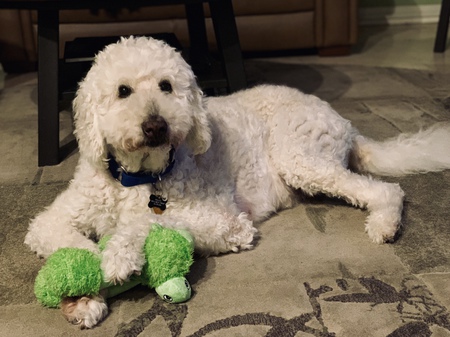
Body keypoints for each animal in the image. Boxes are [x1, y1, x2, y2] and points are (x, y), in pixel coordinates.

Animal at [23, 36, 450, 326]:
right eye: (122, 91)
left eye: (166, 86)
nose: (156, 126)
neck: (138, 178)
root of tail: (342, 120)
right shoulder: (49, 221)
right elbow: (72, 243)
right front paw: (84, 294)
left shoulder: (227, 223)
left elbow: (151, 222)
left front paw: (119, 254)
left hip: (301, 159)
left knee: (385, 189)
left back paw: (385, 224)